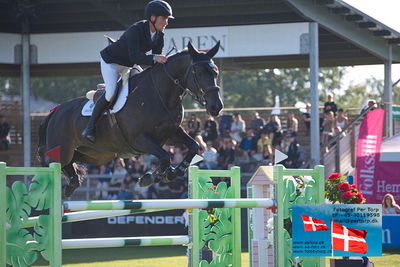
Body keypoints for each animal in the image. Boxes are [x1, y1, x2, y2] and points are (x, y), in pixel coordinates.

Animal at [37, 41, 223, 197]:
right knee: (52, 164)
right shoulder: (139, 139)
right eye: (198, 72)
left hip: (93, 155)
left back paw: (70, 186)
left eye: (216, 72)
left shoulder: (170, 134)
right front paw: (151, 177)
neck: (160, 94)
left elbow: (193, 146)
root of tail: (55, 112)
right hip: (62, 151)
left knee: (71, 170)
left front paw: (173, 172)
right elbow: (164, 157)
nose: (217, 107)